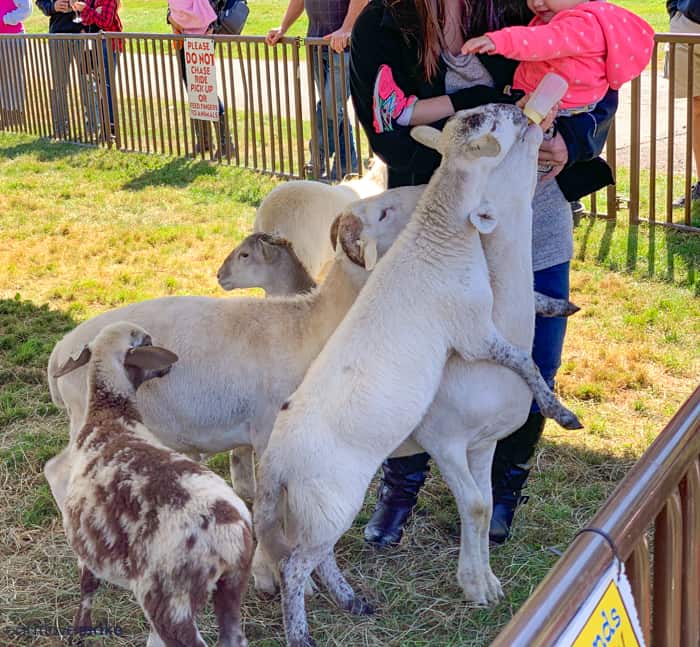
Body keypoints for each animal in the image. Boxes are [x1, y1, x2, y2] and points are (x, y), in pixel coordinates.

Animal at [52, 324, 254, 647]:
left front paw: (79, 631)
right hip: (232, 585)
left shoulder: (85, 545)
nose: (170, 364)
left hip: (170, 598)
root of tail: (229, 529)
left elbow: (87, 587)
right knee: (233, 638)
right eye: (147, 341)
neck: (111, 416)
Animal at [254, 106, 584, 647]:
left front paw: (482, 578)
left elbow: (484, 504)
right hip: (332, 502)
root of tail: (278, 461)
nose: (518, 108)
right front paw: (562, 412)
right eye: (488, 121)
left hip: (313, 509)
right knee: (294, 563)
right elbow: (522, 359)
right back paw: (298, 627)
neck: (437, 233)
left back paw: (351, 600)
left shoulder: (482, 439)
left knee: (308, 552)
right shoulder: (469, 346)